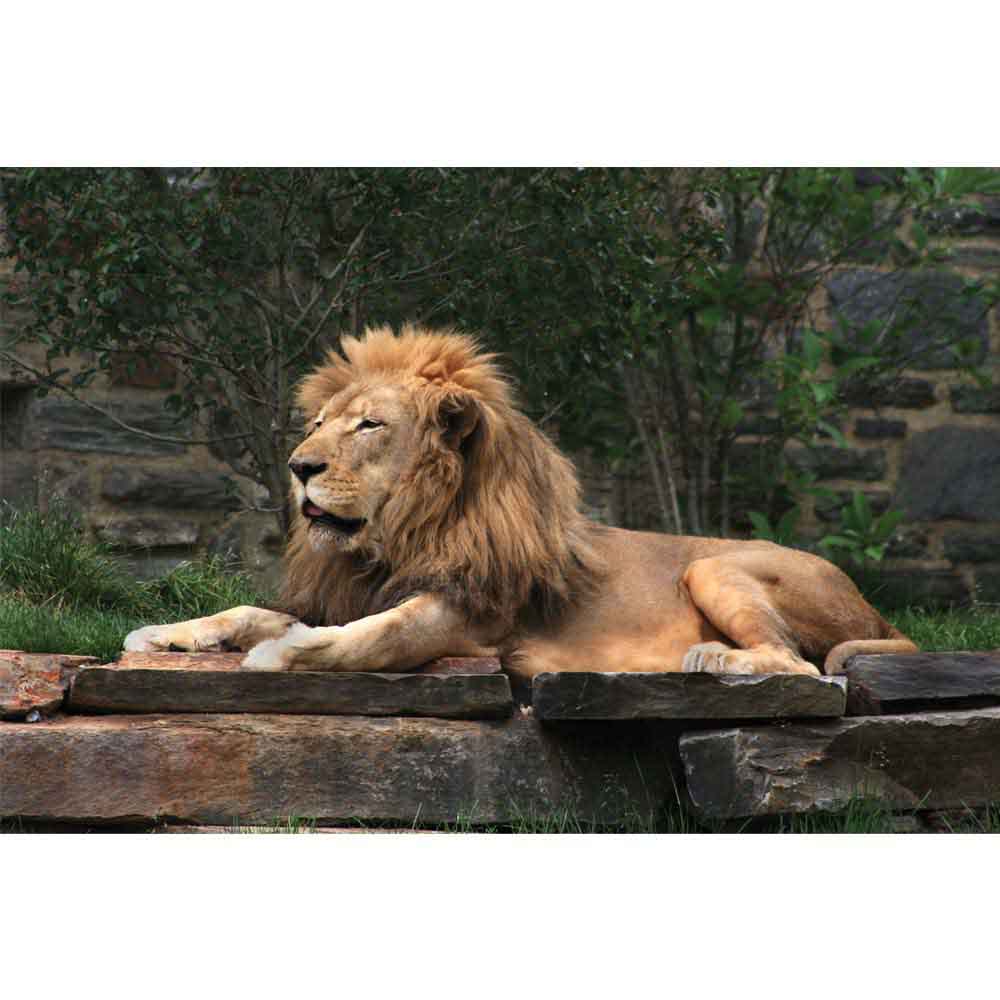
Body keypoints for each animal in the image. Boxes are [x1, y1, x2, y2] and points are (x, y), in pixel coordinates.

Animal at [125, 324, 917, 679]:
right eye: (317, 424)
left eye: (370, 425)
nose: (297, 467)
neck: (398, 537)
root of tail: (876, 610)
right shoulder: (351, 588)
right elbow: (246, 610)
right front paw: (167, 633)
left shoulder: (468, 617)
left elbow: (373, 636)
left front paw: (281, 653)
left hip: (714, 567)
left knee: (801, 665)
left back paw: (711, 658)